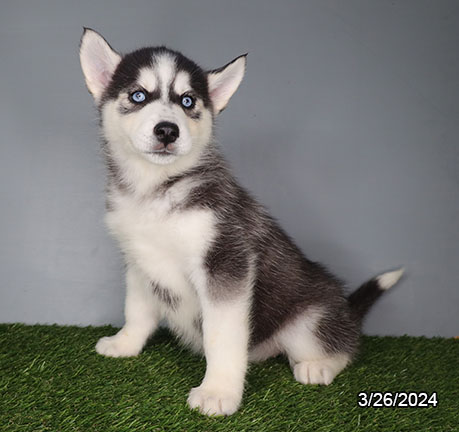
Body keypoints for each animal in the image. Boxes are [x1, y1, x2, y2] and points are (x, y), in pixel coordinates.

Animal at [81, 28, 404, 416]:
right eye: (138, 95)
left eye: (187, 101)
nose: (167, 130)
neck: (156, 189)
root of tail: (346, 313)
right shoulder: (140, 261)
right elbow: (137, 309)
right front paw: (125, 343)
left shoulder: (225, 262)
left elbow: (221, 337)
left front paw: (218, 391)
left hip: (310, 319)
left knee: (341, 347)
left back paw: (318, 365)